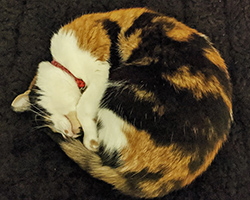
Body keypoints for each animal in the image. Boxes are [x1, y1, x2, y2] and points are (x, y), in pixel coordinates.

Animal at [12, 7, 232, 198]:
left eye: (47, 118)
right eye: (51, 125)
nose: (66, 133)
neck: (67, 65)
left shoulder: (100, 69)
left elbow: (83, 106)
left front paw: (90, 140)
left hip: (122, 82)